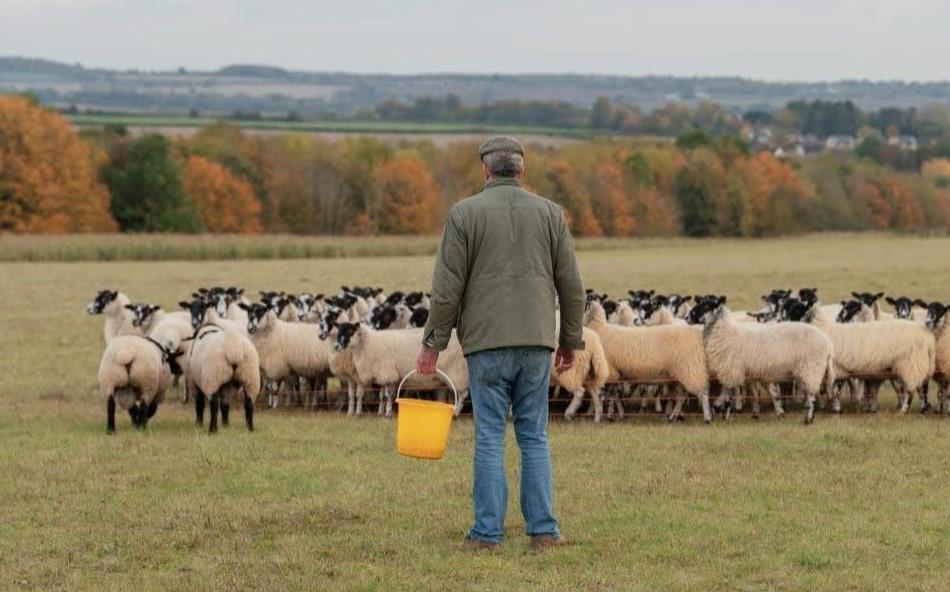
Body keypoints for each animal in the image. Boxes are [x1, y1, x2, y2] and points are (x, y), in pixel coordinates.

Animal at [584, 302, 712, 424]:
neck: (600, 329)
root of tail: (697, 336)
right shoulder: (615, 374)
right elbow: (613, 396)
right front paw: (613, 415)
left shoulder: (609, 372)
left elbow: (604, 396)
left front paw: (603, 416)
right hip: (678, 377)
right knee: (681, 398)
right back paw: (672, 417)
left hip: (691, 370)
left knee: (703, 393)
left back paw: (707, 418)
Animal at [688, 294, 836, 424]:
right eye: (700, 303)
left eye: (707, 306)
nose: (688, 317)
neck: (725, 332)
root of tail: (827, 343)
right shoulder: (745, 372)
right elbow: (752, 394)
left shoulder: (731, 369)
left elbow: (728, 394)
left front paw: (722, 413)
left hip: (811, 368)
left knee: (812, 396)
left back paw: (808, 419)